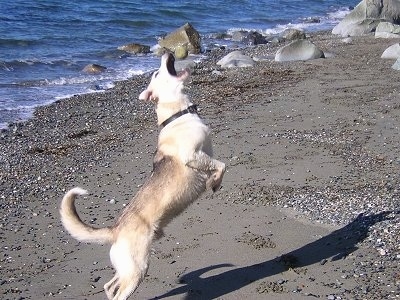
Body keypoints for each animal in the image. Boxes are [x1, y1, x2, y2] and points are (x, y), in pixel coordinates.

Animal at [61, 52, 227, 298]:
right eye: (157, 73)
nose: (166, 53)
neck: (178, 114)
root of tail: (115, 230)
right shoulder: (192, 156)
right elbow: (221, 165)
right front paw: (214, 183)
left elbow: (219, 165)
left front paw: (213, 181)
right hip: (137, 269)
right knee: (119, 292)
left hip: (127, 269)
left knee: (109, 286)